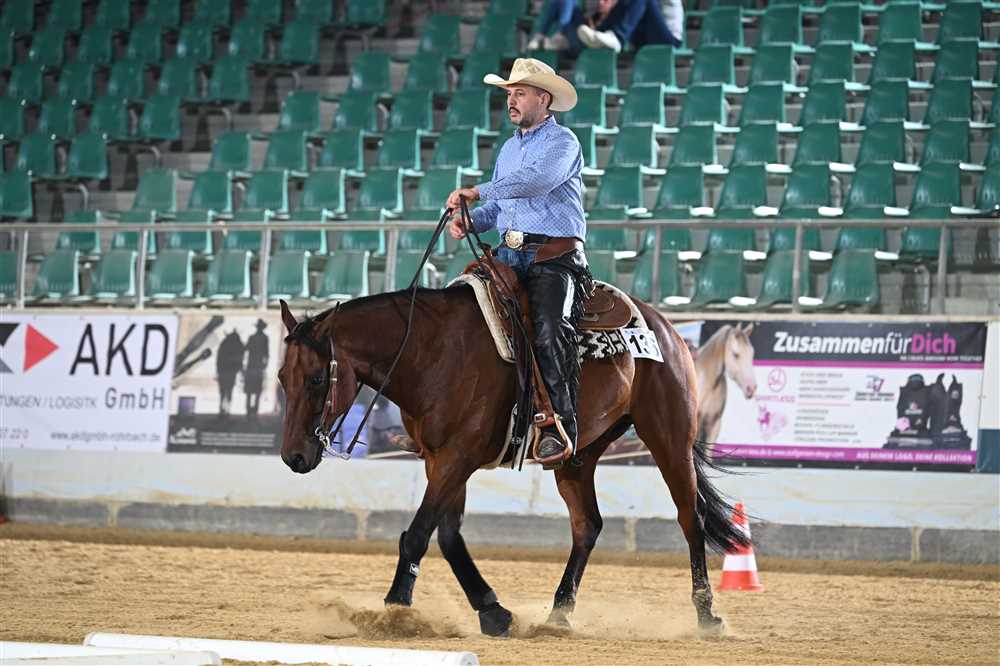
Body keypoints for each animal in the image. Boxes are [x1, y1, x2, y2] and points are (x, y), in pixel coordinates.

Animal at [276, 285, 749, 637]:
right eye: (282, 378)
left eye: (317, 379)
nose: (293, 455)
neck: (432, 352)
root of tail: (665, 328)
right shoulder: (441, 460)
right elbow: (449, 537)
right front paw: (494, 612)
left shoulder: (458, 457)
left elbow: (417, 534)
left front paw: (395, 609)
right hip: (577, 456)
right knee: (587, 526)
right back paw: (558, 615)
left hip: (669, 435)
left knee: (691, 517)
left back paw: (707, 615)